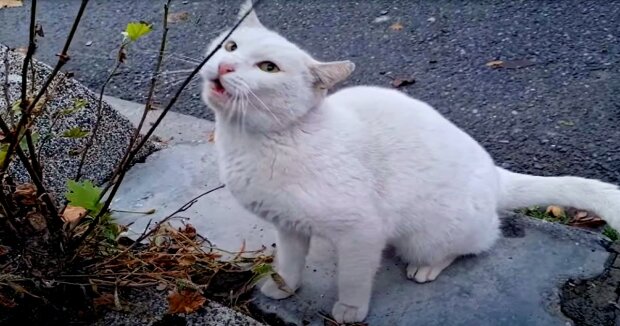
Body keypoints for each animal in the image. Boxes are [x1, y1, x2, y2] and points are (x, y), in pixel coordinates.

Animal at [201, 1, 620, 324]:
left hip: (427, 234)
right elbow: (289, 263)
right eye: (230, 45)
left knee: (479, 241)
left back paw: (428, 266)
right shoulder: (288, 226)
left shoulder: (361, 231)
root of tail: (494, 172)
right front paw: (283, 287)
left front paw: (350, 310)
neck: (255, 142)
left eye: (268, 68)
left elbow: (354, 278)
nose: (224, 67)